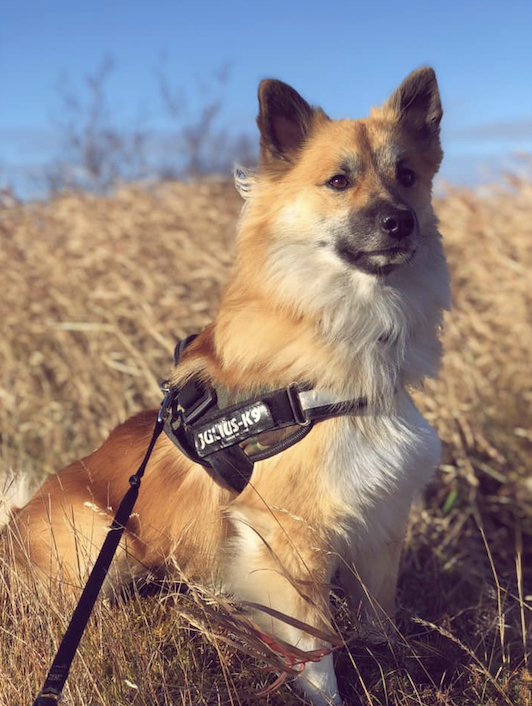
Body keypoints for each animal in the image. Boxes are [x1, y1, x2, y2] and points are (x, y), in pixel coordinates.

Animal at [4, 67, 448, 704]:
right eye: (339, 181)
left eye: (407, 176)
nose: (400, 221)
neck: (345, 328)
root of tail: (12, 522)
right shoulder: (288, 534)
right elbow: (314, 651)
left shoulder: (381, 514)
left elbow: (379, 621)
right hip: (100, 537)